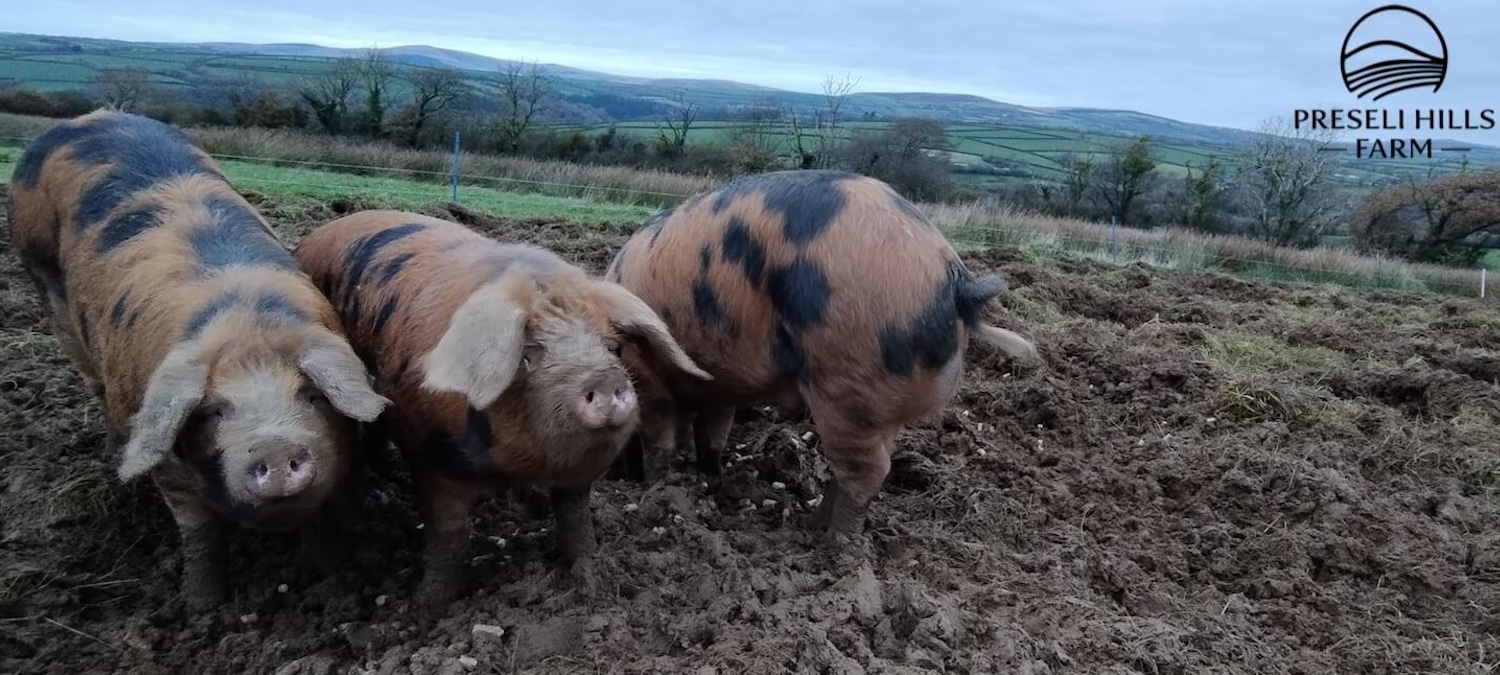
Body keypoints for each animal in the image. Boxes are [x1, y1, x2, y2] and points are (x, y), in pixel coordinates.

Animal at [5, 109, 391, 609]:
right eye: (213, 412)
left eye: (312, 397)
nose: (275, 447)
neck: (242, 323)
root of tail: (85, 119)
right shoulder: (159, 440)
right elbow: (199, 530)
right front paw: (202, 606)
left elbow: (320, 521)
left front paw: (334, 575)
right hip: (48, 291)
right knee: (92, 380)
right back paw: (113, 454)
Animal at [291, 209, 712, 608]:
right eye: (527, 355)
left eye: (613, 347)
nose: (605, 378)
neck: (511, 466)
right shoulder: (432, 463)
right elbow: (448, 540)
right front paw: (425, 607)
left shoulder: (577, 472)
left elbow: (575, 519)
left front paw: (591, 573)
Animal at [603, 169, 1041, 541]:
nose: (616, 475)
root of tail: (956, 282)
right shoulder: (721, 386)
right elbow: (712, 437)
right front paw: (708, 480)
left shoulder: (650, 381)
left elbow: (659, 442)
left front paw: (654, 487)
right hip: (877, 407)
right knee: (864, 466)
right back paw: (816, 523)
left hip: (848, 383)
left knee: (866, 474)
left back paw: (834, 545)